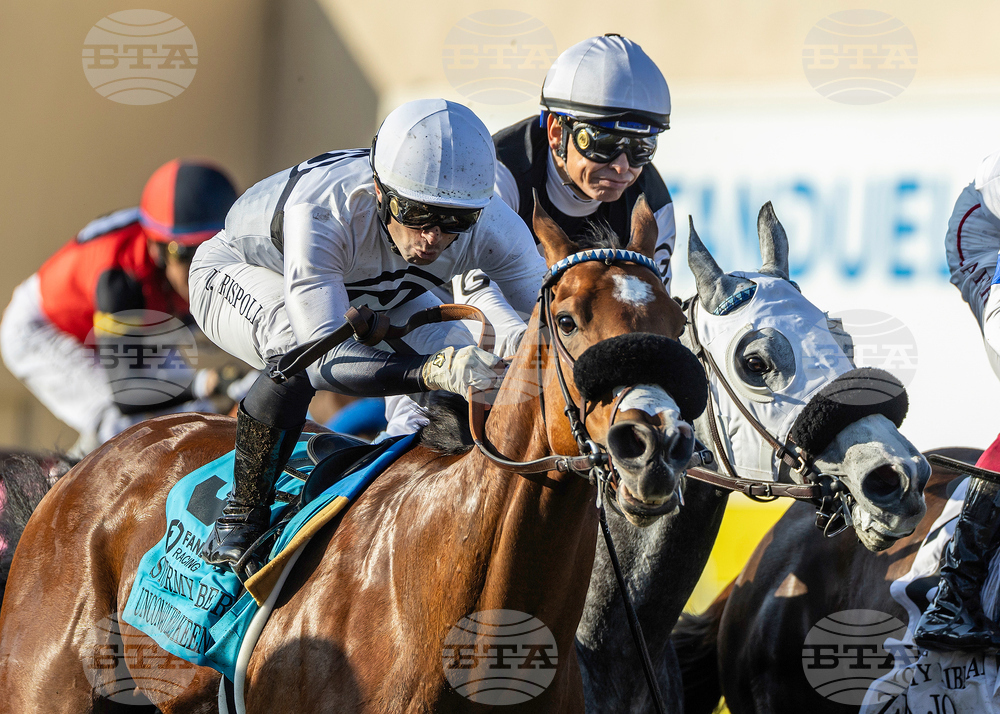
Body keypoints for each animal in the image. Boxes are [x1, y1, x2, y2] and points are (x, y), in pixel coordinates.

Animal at [0, 199, 707, 713]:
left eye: (678, 328)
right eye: (567, 319)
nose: (655, 446)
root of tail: (77, 477)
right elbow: (323, 353)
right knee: (290, 364)